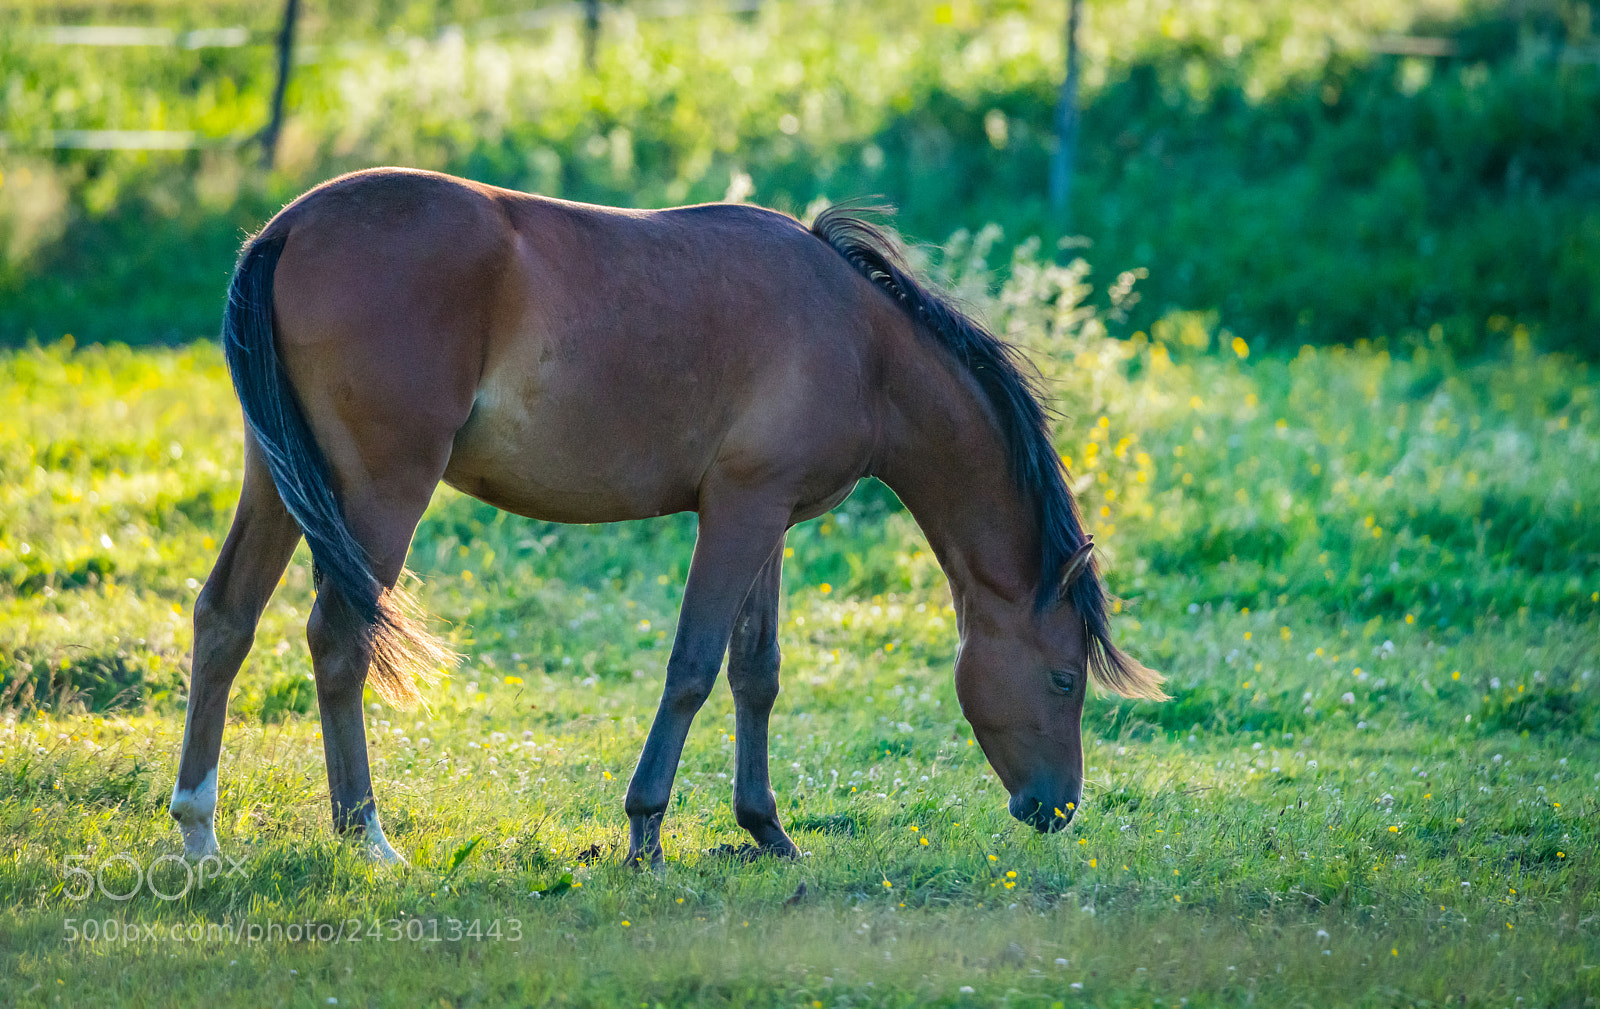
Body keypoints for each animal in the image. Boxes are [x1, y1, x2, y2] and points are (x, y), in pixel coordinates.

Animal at [168, 167, 1165, 867]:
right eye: (1065, 679)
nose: (1058, 807)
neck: (860, 340)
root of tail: (288, 228)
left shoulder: (769, 518)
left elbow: (756, 672)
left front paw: (766, 830)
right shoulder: (737, 513)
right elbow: (692, 666)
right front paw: (645, 831)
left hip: (278, 480)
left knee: (225, 619)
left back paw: (199, 830)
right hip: (381, 491)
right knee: (338, 638)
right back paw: (366, 837)